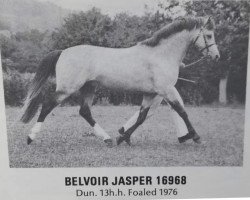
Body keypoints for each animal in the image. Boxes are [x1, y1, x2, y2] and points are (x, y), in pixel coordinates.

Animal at [20, 16, 220, 147]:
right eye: (209, 35)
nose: (217, 57)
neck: (160, 55)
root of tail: (63, 52)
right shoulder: (166, 90)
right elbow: (182, 111)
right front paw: (195, 136)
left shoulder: (151, 94)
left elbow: (141, 117)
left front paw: (123, 138)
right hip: (67, 89)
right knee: (47, 105)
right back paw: (30, 137)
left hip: (88, 88)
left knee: (84, 111)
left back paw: (107, 139)